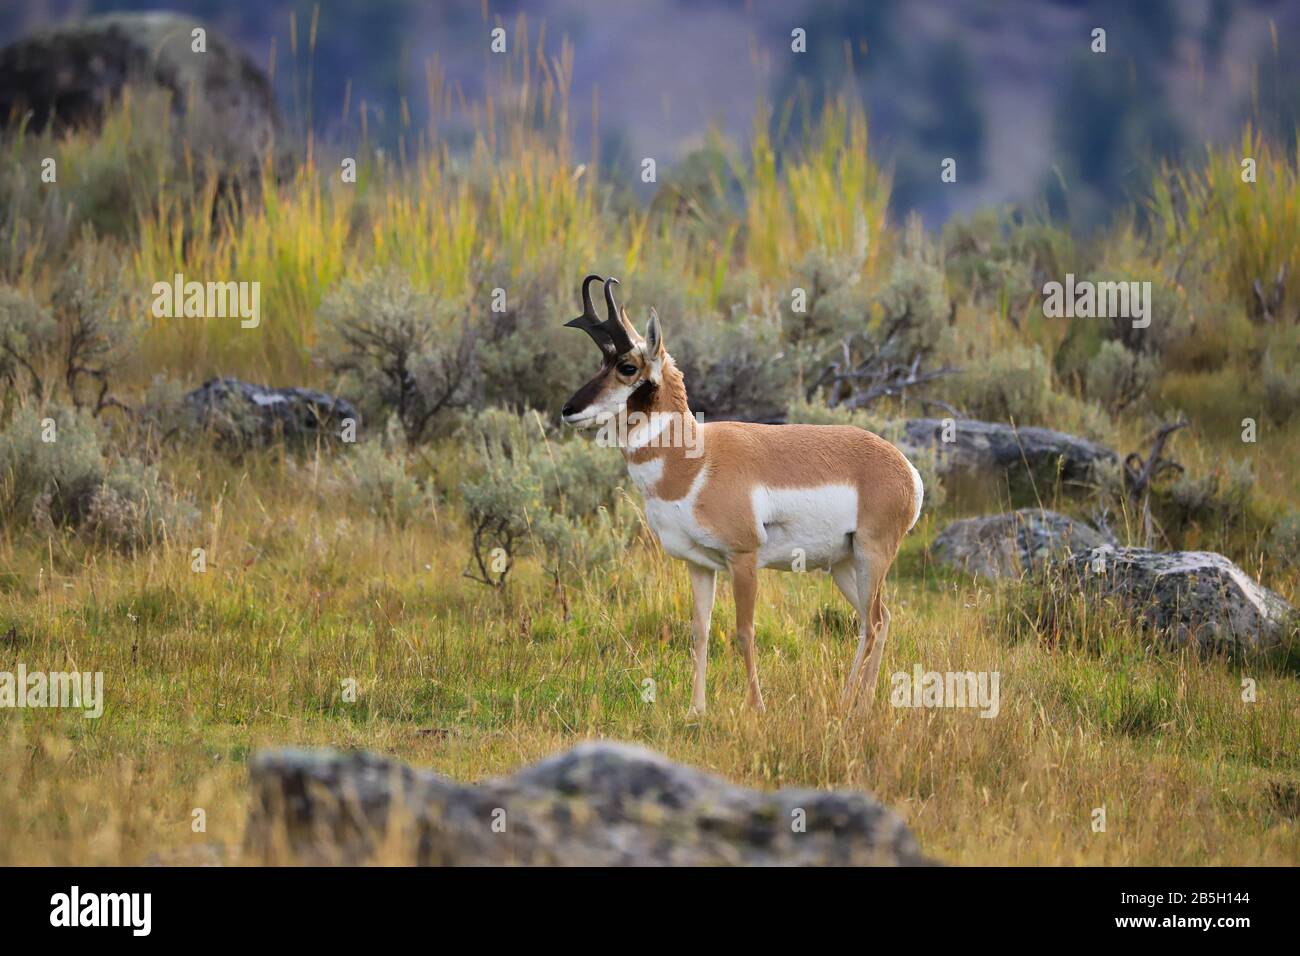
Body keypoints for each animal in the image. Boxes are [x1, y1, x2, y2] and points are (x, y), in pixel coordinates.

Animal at [561, 274, 925, 712]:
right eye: (601, 363)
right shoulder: (699, 565)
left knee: (871, 624)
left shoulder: (744, 558)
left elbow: (744, 630)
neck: (694, 461)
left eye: (627, 367)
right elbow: (700, 630)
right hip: (844, 564)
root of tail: (905, 468)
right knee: (882, 620)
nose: (568, 409)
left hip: (872, 555)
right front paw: (696, 709)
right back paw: (862, 705)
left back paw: (845, 704)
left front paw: (757, 707)